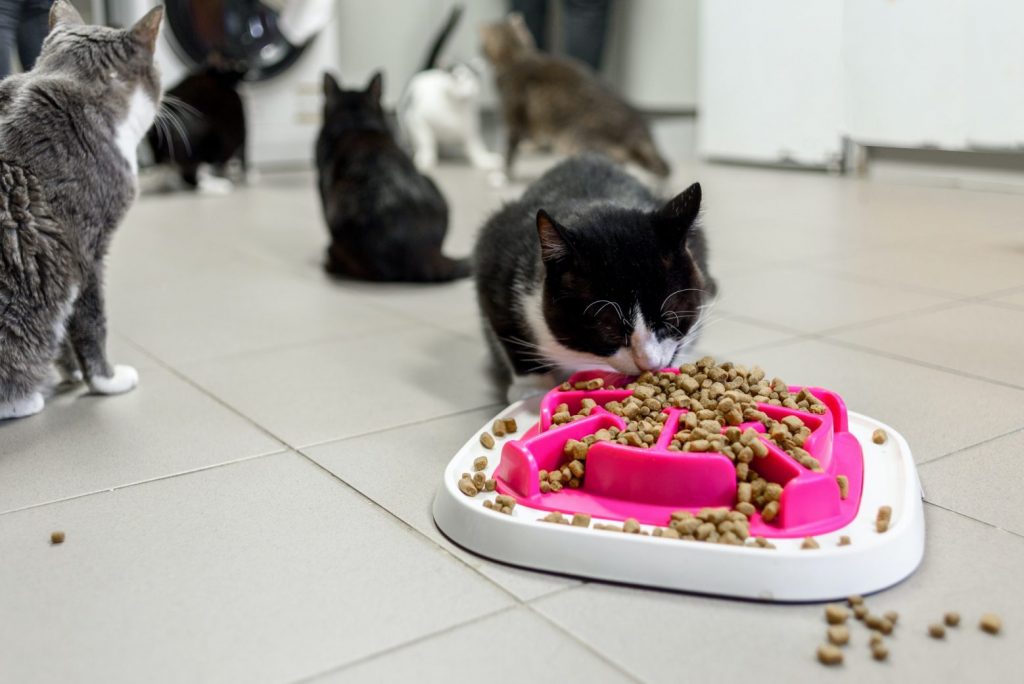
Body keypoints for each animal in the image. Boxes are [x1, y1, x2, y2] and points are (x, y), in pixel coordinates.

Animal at [475, 153, 716, 401]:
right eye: (608, 327)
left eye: (672, 318)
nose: (648, 363)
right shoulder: (496, 253)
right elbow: (507, 329)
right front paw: (531, 388)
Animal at [479, 14, 671, 179]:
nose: (478, 50)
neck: (516, 57)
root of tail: (638, 125)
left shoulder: (513, 118)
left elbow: (509, 152)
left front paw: (502, 174)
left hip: (576, 139)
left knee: (618, 158)